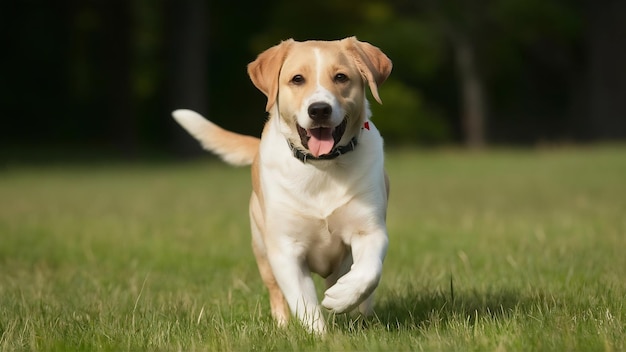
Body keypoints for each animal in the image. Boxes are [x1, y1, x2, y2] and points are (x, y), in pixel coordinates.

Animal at [171, 36, 390, 332]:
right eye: (297, 79)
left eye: (341, 77)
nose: (319, 109)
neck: (322, 169)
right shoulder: (285, 249)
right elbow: (304, 302)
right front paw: (320, 335)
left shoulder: (369, 230)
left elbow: (368, 272)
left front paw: (342, 297)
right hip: (262, 248)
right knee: (276, 292)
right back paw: (283, 325)